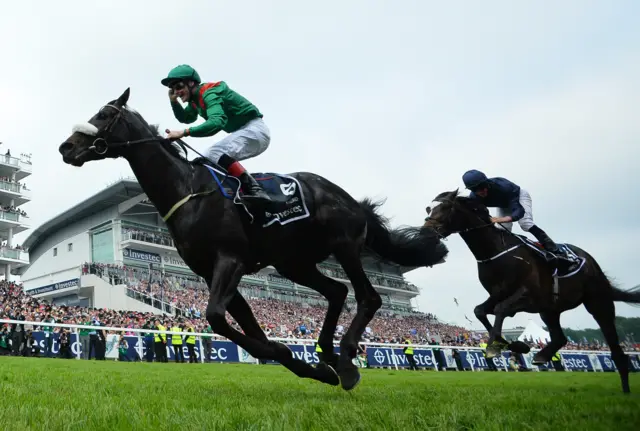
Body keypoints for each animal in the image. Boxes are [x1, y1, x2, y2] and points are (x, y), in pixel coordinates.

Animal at [60, 88, 450, 392]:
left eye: (104, 114)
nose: (66, 146)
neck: (188, 192)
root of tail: (352, 200)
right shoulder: (211, 272)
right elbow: (251, 334)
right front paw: (309, 366)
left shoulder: (230, 260)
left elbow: (217, 319)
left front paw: (303, 360)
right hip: (294, 263)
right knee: (338, 291)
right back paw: (329, 353)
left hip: (344, 245)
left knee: (368, 296)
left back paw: (347, 358)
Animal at [424, 190, 640, 394]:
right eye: (429, 209)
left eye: (444, 208)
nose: (426, 230)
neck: (495, 251)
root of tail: (592, 262)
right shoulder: (498, 294)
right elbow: (480, 311)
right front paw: (515, 345)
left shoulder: (529, 297)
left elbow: (501, 310)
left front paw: (495, 346)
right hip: (550, 310)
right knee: (560, 337)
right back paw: (542, 355)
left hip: (598, 302)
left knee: (616, 349)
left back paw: (625, 388)